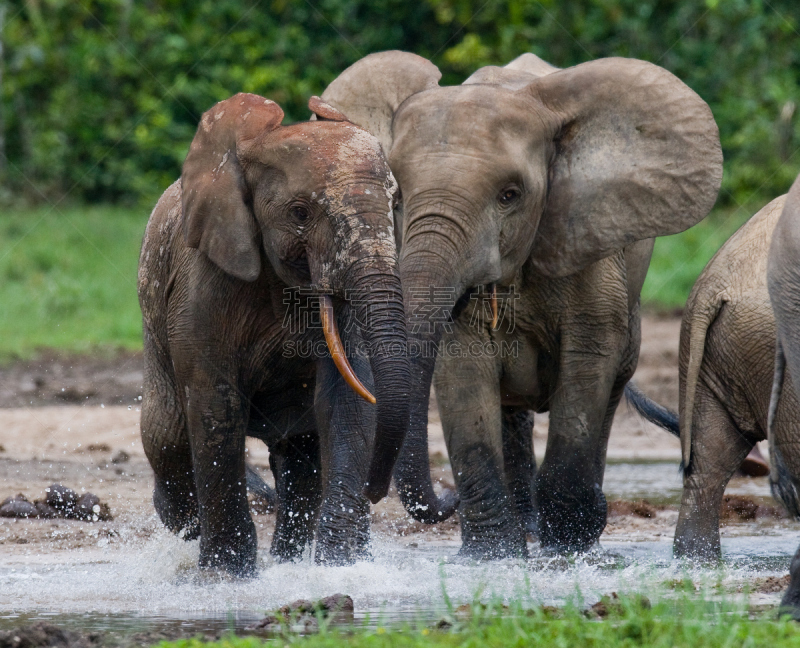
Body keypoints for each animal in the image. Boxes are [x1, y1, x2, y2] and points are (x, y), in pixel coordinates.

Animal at [138, 93, 410, 576]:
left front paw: (339, 566)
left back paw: (289, 559)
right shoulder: (201, 283)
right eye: (300, 213)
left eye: (395, 204)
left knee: (301, 452)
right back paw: (185, 533)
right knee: (166, 438)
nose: (375, 493)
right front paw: (227, 576)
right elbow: (215, 404)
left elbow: (348, 396)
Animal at [320, 52, 724, 556]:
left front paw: (566, 550)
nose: (448, 499)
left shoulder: (587, 238)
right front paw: (490, 557)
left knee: (609, 389)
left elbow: (588, 364)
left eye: (510, 195)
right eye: (395, 196)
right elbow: (464, 373)